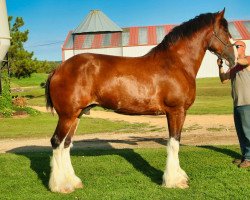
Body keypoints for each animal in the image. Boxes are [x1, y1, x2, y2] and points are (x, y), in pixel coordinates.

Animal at [46, 9, 235, 194]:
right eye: (225, 30)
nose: (234, 56)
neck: (176, 63)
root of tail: (58, 69)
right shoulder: (176, 111)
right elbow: (174, 143)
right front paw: (175, 181)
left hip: (77, 115)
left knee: (66, 144)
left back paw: (73, 181)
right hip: (67, 115)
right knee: (57, 142)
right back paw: (60, 186)